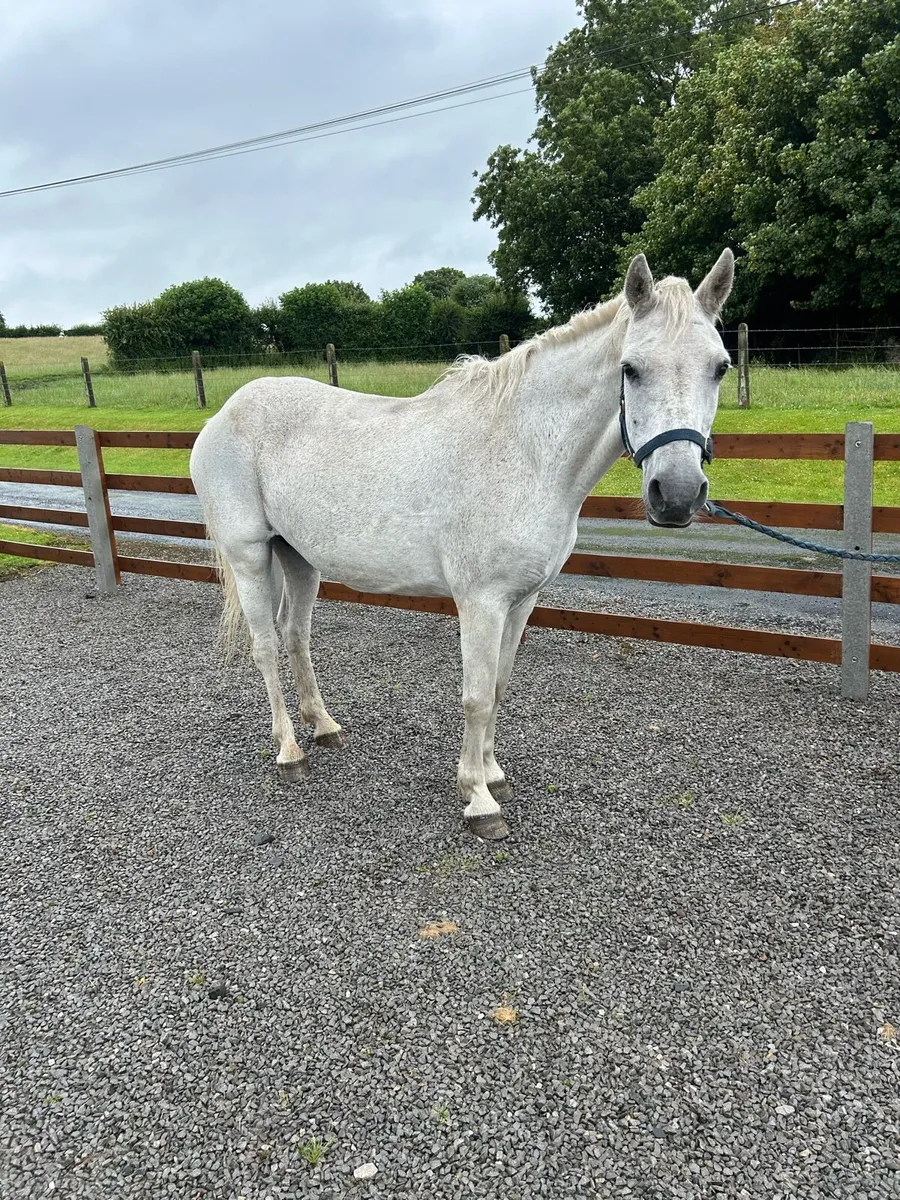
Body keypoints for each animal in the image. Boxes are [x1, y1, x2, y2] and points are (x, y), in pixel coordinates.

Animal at [190, 250, 734, 841]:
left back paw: (325, 726)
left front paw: (493, 775)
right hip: (250, 556)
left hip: (300, 558)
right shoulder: (481, 602)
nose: (676, 495)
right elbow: (475, 697)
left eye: (720, 367)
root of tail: (223, 415)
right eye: (630, 368)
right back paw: (290, 752)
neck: (524, 451)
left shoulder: (522, 602)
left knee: (296, 637)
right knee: (266, 646)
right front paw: (478, 800)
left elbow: (498, 687)